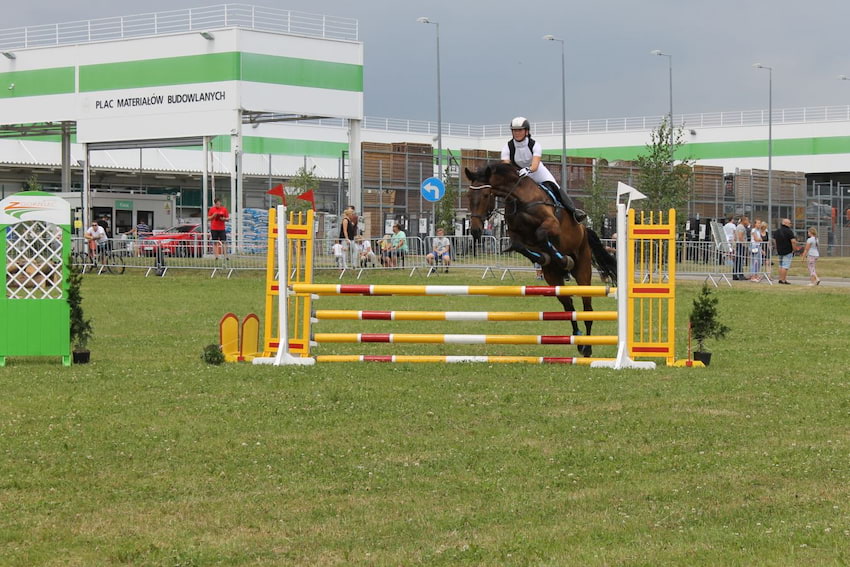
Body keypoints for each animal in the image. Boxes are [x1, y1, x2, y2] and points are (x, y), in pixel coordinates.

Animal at [464, 162, 616, 358]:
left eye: (485, 195)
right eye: (468, 196)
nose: (475, 231)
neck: (519, 198)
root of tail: (585, 231)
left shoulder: (552, 224)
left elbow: (541, 234)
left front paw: (563, 259)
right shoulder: (516, 235)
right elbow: (518, 245)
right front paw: (544, 257)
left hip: (583, 270)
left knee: (587, 309)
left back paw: (588, 347)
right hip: (553, 279)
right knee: (569, 307)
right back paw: (578, 339)